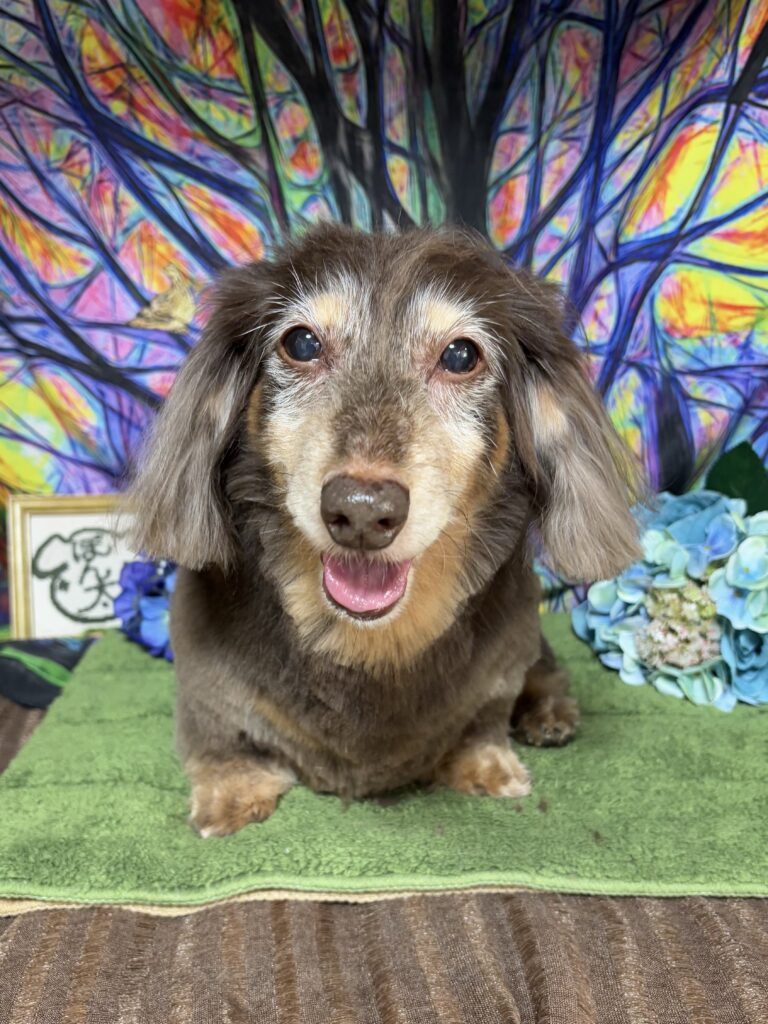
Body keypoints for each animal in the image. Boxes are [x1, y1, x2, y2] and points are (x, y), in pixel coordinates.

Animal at [126, 225, 640, 836]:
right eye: (301, 343)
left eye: (461, 355)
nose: (363, 512)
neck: (367, 642)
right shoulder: (206, 685)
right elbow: (219, 739)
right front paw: (232, 790)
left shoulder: (502, 663)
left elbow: (485, 717)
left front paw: (485, 761)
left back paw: (550, 713)